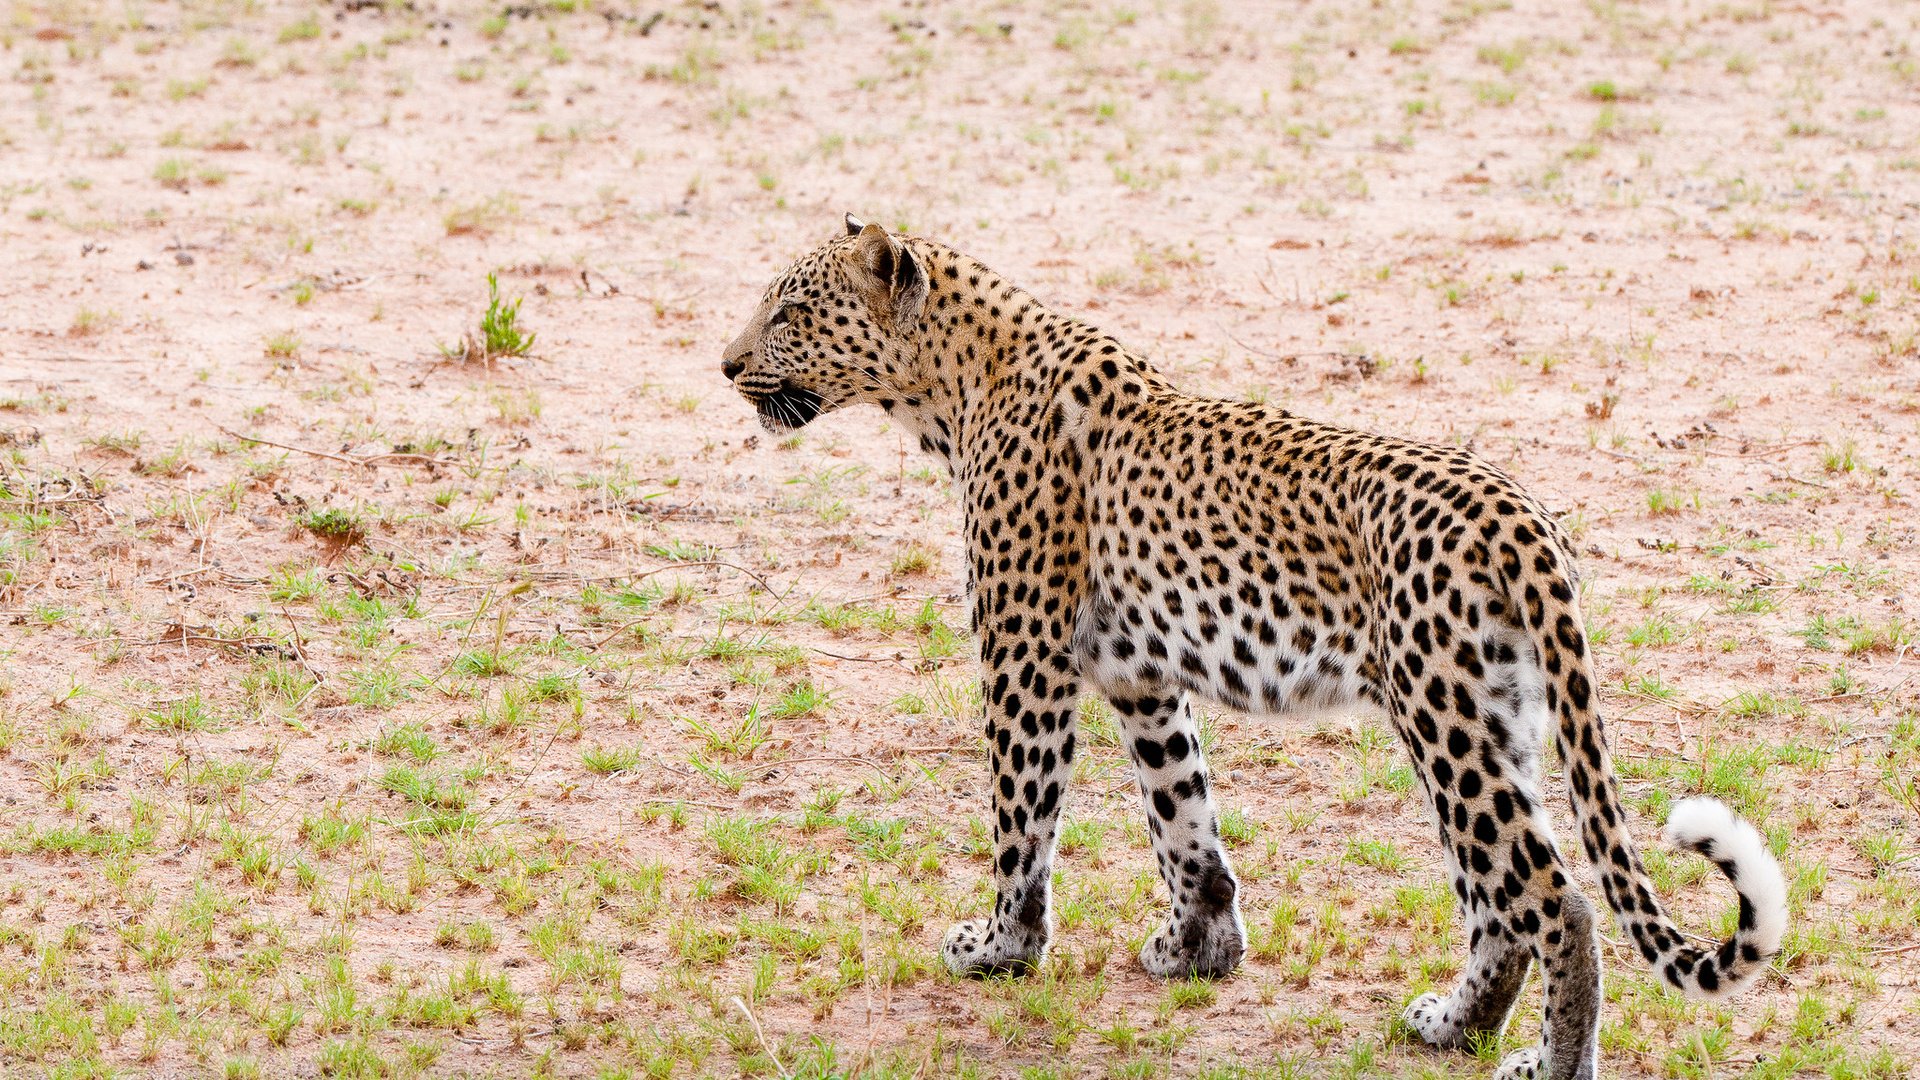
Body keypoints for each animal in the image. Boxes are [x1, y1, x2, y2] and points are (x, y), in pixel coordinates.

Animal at [721, 214, 1781, 1068]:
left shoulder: (1025, 658)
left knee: (1554, 901)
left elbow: (1020, 820)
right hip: (1495, 720)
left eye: (788, 309)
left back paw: (1546, 1065)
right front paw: (1198, 948)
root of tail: (1521, 515)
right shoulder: (1140, 673)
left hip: (1445, 721)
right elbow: (1181, 811)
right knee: (1500, 901)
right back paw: (1454, 1026)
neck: (950, 386)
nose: (726, 366)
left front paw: (1000, 949)